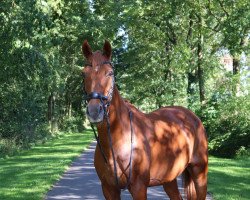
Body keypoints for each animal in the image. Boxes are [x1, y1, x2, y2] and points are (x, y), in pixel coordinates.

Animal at [81, 39, 208, 199]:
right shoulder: (109, 189)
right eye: (83, 74)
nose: (94, 111)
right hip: (169, 179)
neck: (117, 141)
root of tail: (192, 116)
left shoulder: (139, 188)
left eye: (110, 73)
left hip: (199, 173)